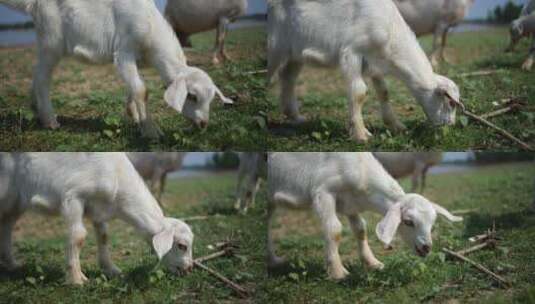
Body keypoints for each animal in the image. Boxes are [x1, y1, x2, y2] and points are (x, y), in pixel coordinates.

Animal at [0, 0, 234, 139]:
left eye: (211, 99)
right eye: (192, 96)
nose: (203, 124)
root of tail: (34, 4)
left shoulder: (133, 61)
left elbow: (134, 88)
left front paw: (135, 115)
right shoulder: (124, 52)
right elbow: (142, 90)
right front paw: (151, 131)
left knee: (37, 73)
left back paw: (35, 109)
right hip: (51, 39)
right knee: (42, 77)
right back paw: (50, 120)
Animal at [0, 154, 195, 284]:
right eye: (181, 246)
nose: (189, 269)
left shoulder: (99, 207)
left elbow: (103, 236)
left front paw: (111, 269)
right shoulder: (73, 197)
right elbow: (78, 237)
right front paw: (77, 279)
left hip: (16, 201)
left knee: (7, 225)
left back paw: (12, 264)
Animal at [268, 0, 464, 142]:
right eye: (450, 103)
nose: (450, 125)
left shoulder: (373, 62)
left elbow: (384, 92)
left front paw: (396, 126)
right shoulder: (351, 53)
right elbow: (359, 93)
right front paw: (361, 134)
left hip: (295, 53)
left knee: (288, 77)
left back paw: (295, 116)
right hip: (276, 46)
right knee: (270, 76)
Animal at [268, 152, 460, 280]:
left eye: (432, 224)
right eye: (408, 222)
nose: (427, 247)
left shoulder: (350, 201)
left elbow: (360, 229)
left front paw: (372, 263)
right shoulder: (323, 192)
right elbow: (334, 230)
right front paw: (338, 272)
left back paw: (273, 260)